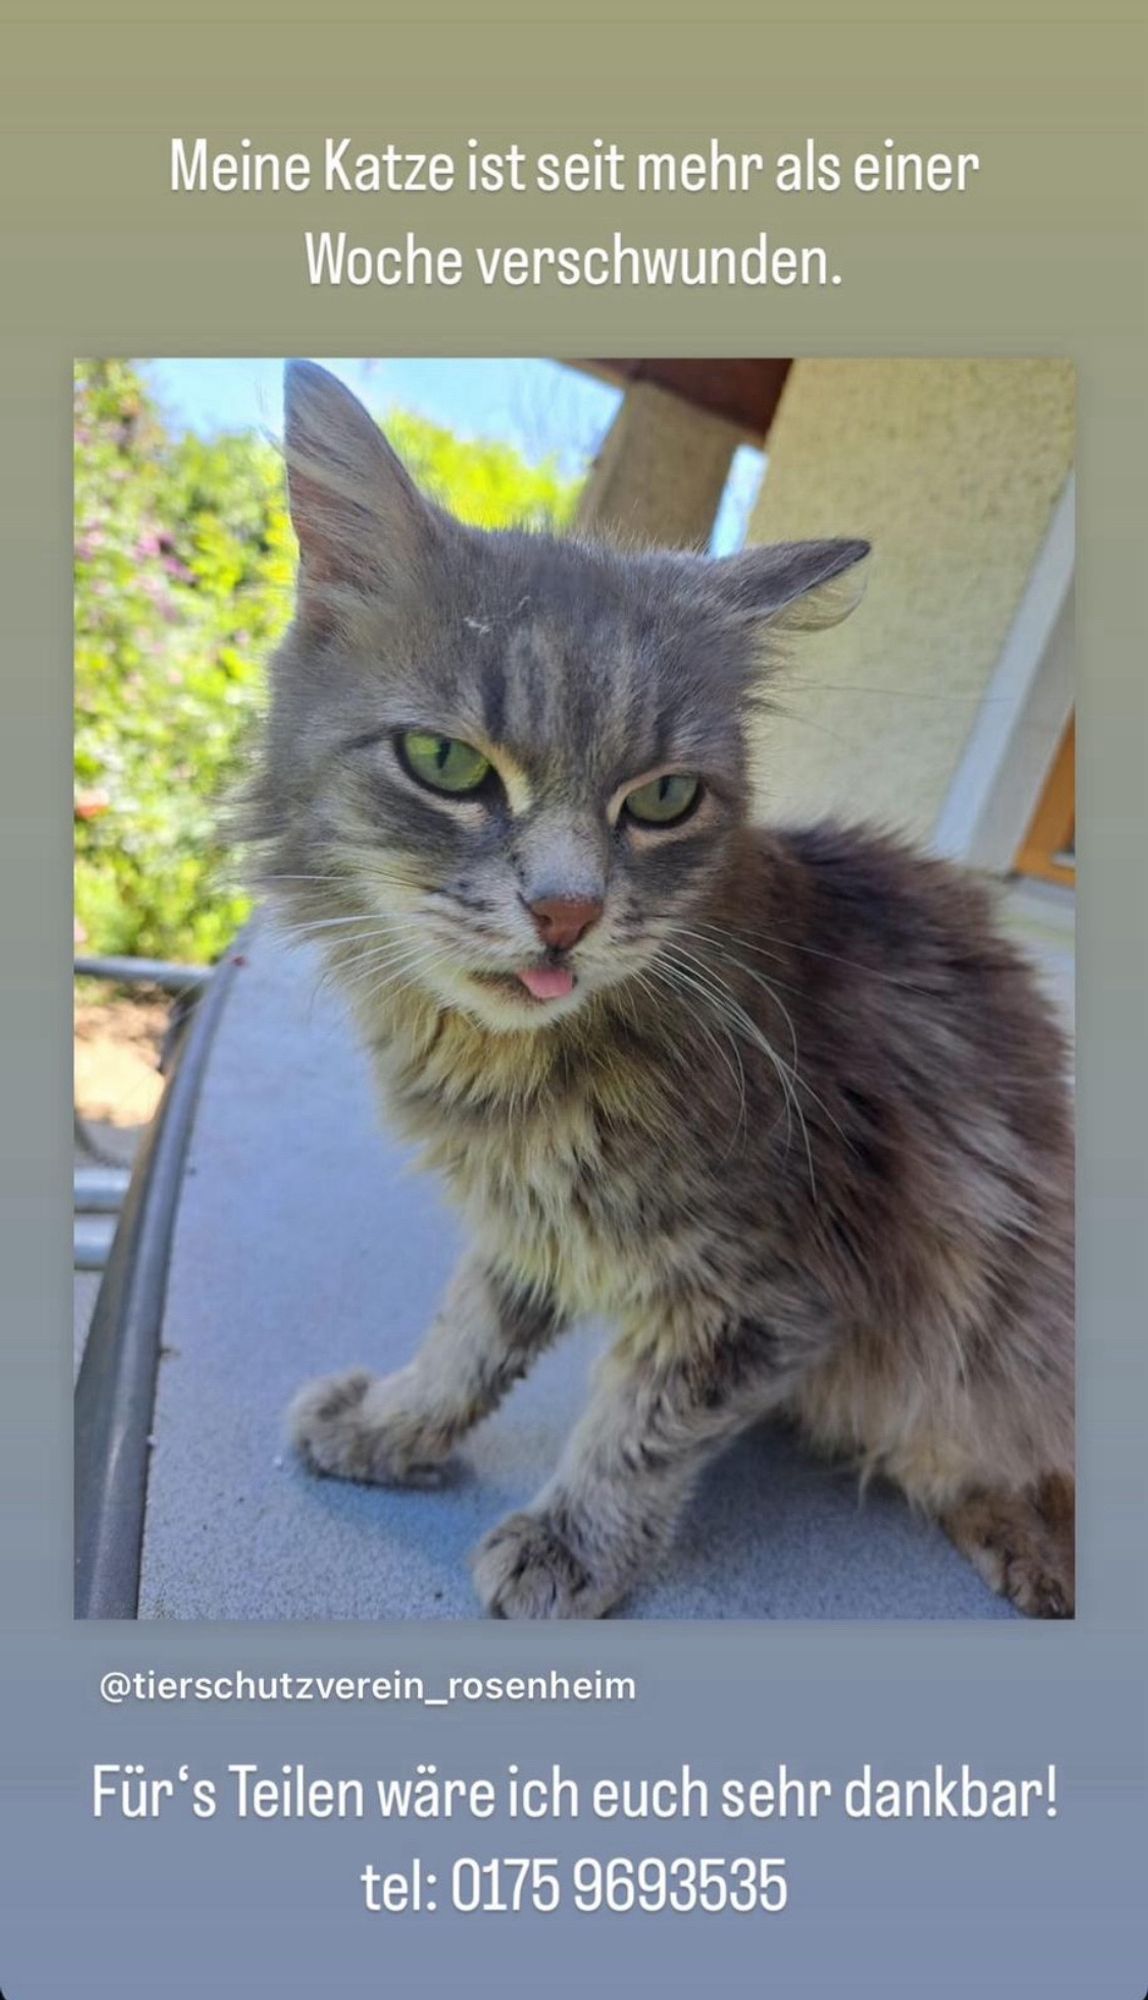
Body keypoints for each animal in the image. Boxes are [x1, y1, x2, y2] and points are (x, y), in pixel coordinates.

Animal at [252, 360, 1080, 1616]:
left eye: (661, 798)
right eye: (445, 763)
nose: (567, 910)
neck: (505, 1065)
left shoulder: (766, 1283)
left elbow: (639, 1426)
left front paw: (570, 1542)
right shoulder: (531, 1216)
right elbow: (463, 1336)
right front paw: (396, 1425)